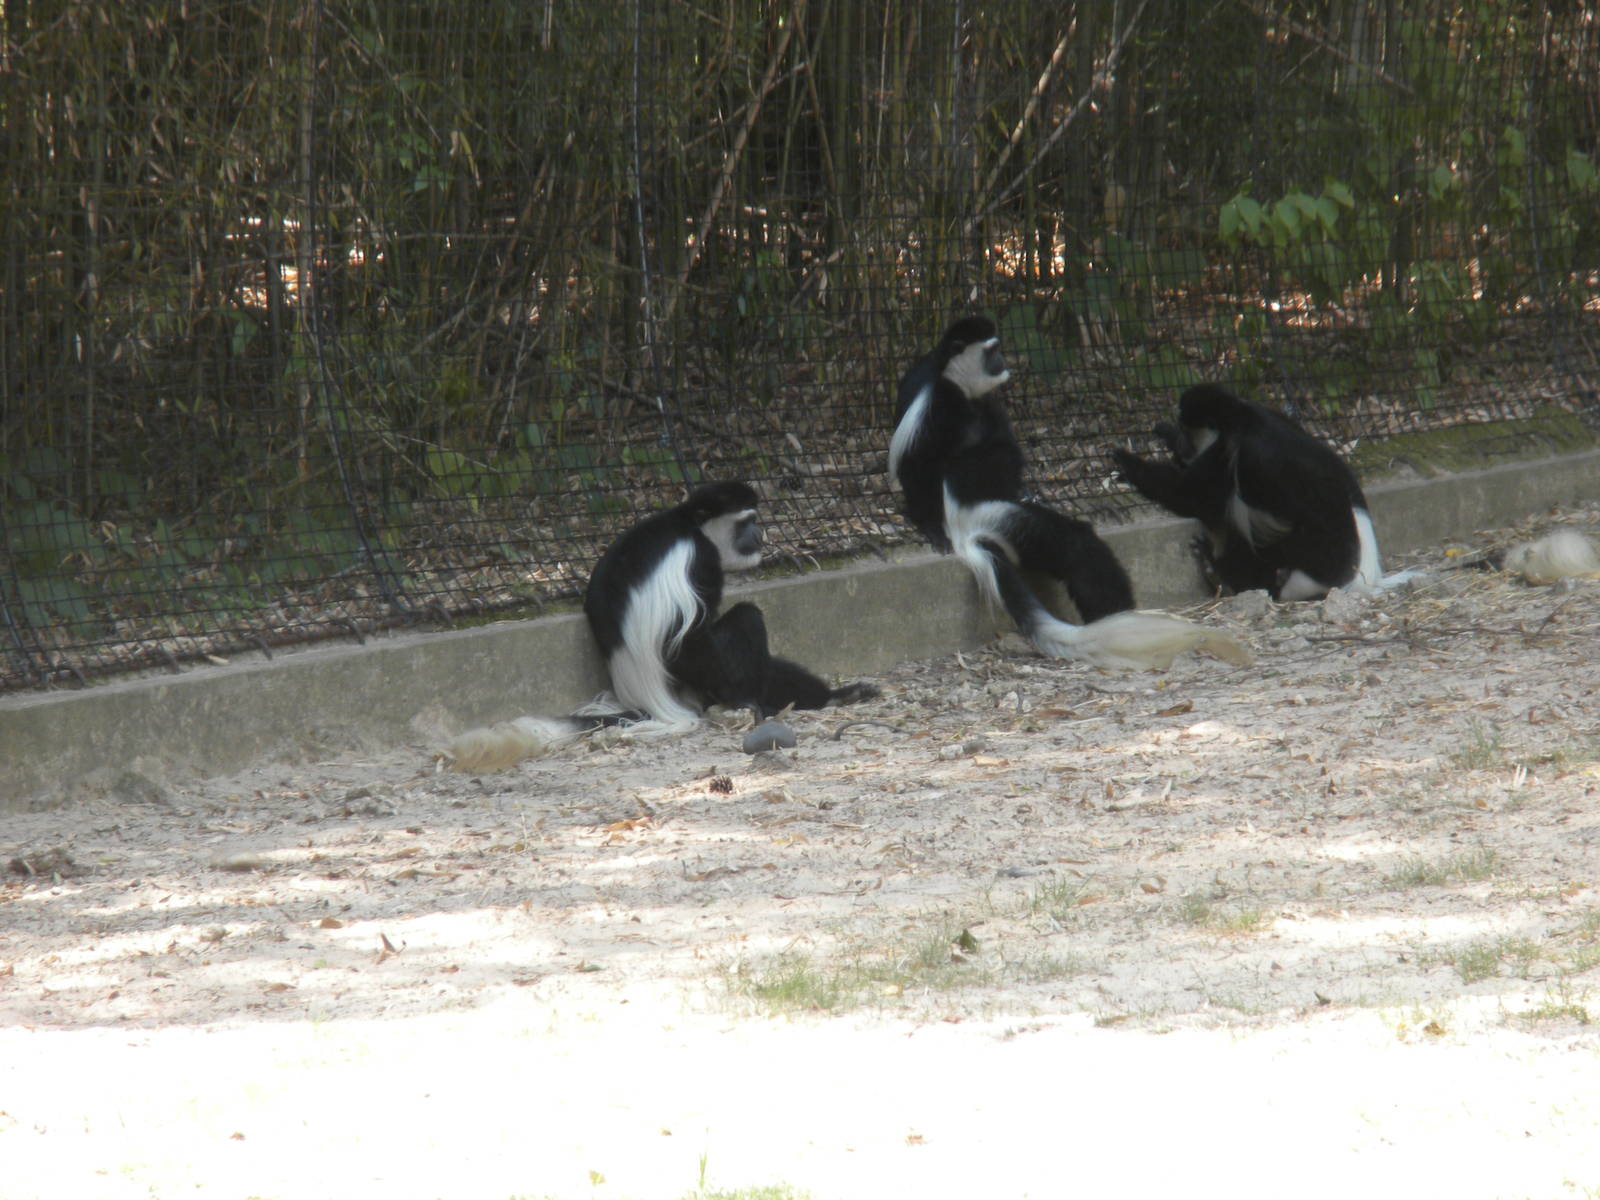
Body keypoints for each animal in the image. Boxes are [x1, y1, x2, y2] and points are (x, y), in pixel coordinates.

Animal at [448, 482, 878, 771]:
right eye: (746, 522)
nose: (760, 534)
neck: (688, 525)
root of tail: (650, 699)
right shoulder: (699, 560)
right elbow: (687, 640)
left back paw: (837, 696)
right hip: (699, 679)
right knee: (745, 620)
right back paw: (752, 704)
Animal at [889, 318, 1250, 670]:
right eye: (991, 352)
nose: (1003, 362)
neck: (956, 384)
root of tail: (968, 536)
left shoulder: (981, 400)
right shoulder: (936, 404)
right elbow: (915, 463)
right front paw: (931, 529)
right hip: (999, 518)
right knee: (1073, 543)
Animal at [1112, 384, 1416, 601]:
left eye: (1189, 432)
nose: (1185, 447)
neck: (1244, 419)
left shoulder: (1234, 455)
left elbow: (1189, 497)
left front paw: (1124, 461)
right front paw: (1165, 434)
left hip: (1304, 551)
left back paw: (1223, 572)